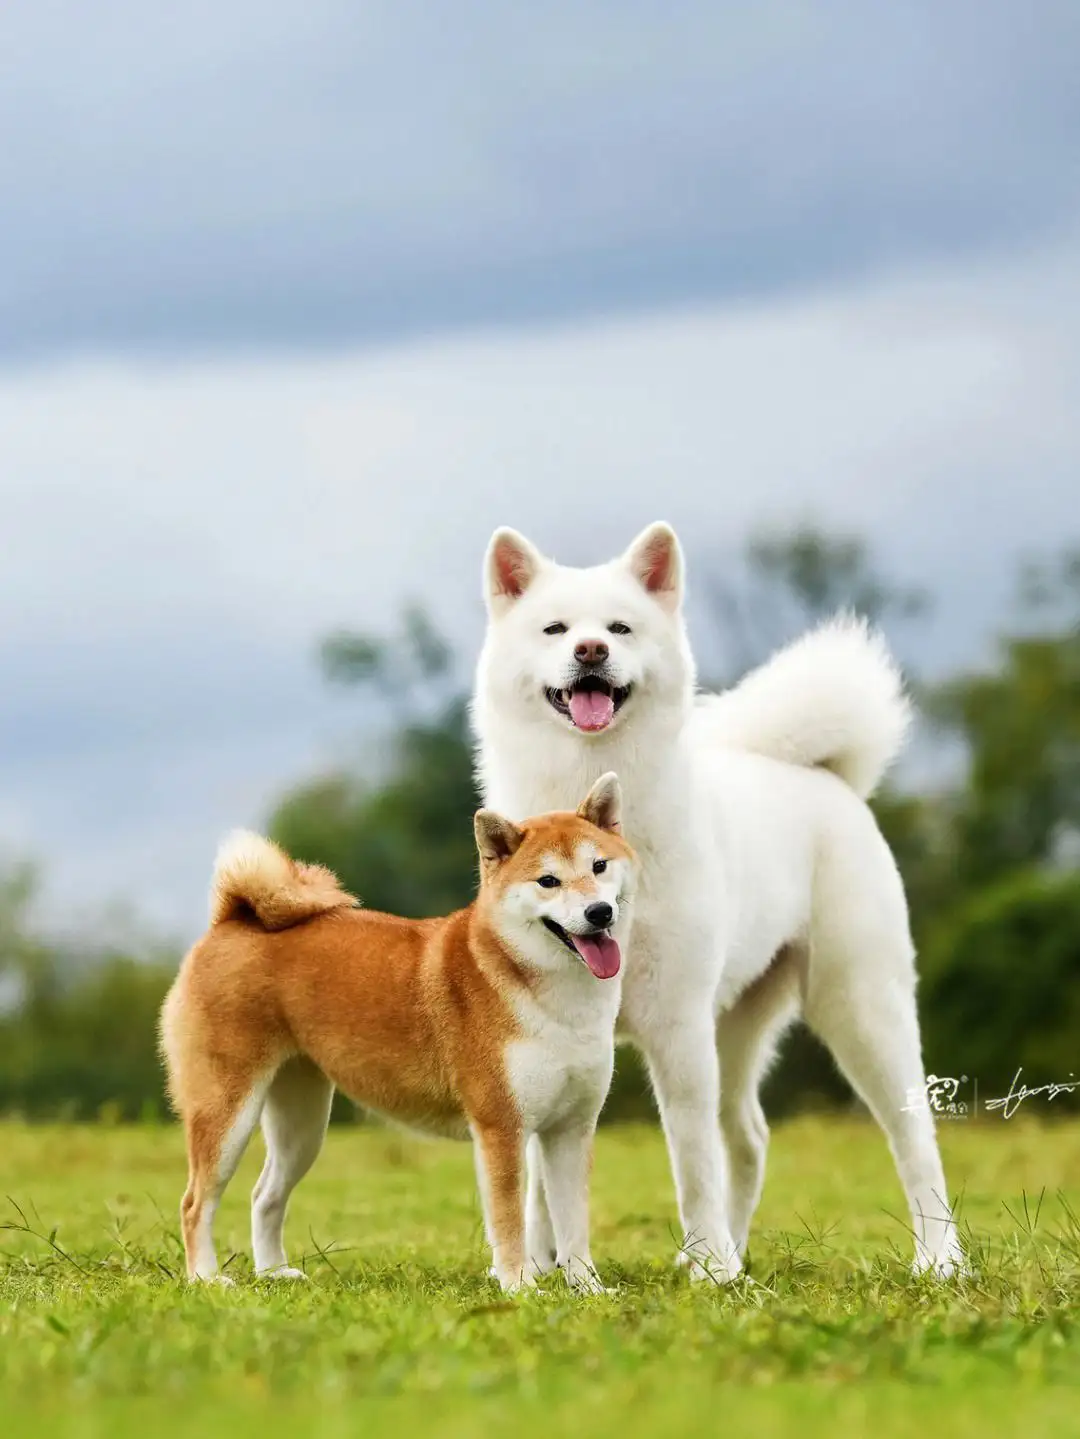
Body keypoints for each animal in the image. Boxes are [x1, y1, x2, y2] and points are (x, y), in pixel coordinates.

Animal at [158, 777, 632, 1295]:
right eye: (548, 881)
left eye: (599, 866)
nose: (599, 912)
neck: (551, 996)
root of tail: (232, 920)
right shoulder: (500, 1129)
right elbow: (509, 1223)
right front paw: (520, 1287)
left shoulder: (571, 1130)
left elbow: (574, 1226)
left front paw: (589, 1289)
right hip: (227, 1112)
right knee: (194, 1202)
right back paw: (206, 1278)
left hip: (302, 1124)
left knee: (264, 1194)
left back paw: (274, 1272)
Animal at [471, 520, 960, 1283]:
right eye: (555, 629)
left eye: (620, 627)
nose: (590, 650)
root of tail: (824, 775)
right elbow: (542, 1169)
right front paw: (546, 1265)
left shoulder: (676, 1024)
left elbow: (691, 1160)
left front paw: (711, 1270)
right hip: (737, 1025)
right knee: (750, 1136)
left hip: (860, 1007)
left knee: (913, 1137)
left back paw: (939, 1259)